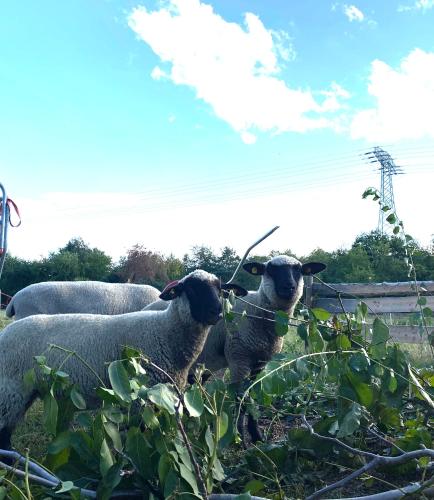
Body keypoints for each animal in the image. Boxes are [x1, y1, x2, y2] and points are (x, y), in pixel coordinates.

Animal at [0, 270, 248, 450]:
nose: (217, 312)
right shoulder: (142, 396)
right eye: (192, 289)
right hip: (11, 391)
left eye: (220, 289)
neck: (164, 332)